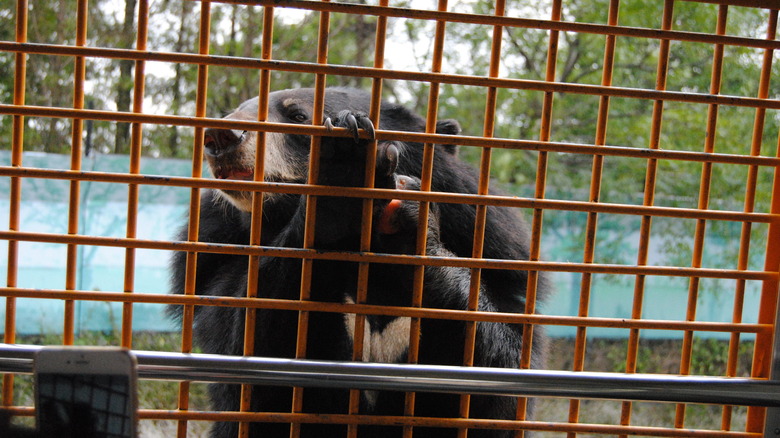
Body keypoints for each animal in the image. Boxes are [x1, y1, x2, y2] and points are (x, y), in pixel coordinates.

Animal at [171, 87, 548, 436]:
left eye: (297, 116)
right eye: (235, 112)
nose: (220, 136)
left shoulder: (498, 265)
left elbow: (495, 385)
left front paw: (409, 217)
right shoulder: (216, 264)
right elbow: (250, 368)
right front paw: (345, 170)